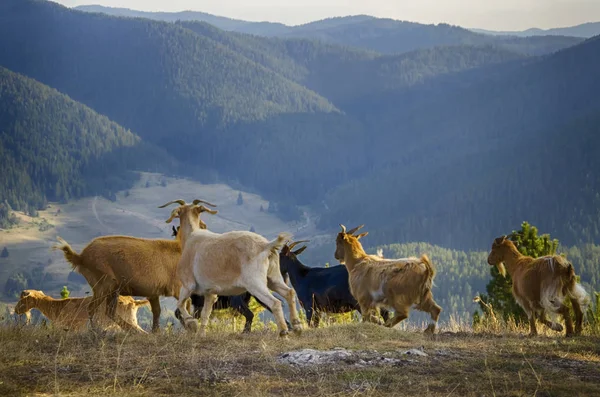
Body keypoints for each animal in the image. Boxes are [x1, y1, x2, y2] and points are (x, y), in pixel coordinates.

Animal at [158, 200, 302, 336]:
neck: (191, 237)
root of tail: (266, 245)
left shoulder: (188, 285)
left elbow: (181, 305)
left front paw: (192, 325)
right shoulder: (210, 292)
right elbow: (205, 313)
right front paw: (201, 333)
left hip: (254, 283)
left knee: (274, 303)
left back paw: (283, 332)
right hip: (273, 278)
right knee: (289, 293)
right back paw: (297, 327)